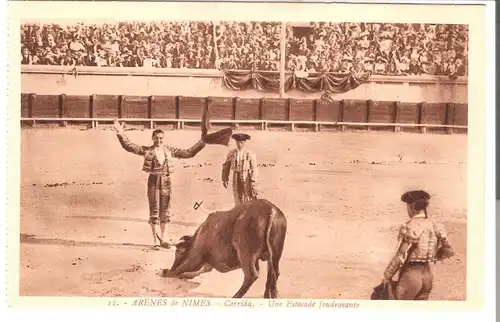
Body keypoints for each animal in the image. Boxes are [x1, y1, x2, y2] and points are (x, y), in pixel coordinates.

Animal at [156, 199, 290, 300]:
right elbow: (195, 272)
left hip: (245, 252)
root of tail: (271, 210)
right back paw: (270, 295)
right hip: (275, 253)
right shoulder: (207, 264)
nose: (172, 266)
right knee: (274, 273)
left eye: (177, 252)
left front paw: (165, 271)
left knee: (252, 275)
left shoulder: (196, 259)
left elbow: (177, 271)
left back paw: (235, 297)